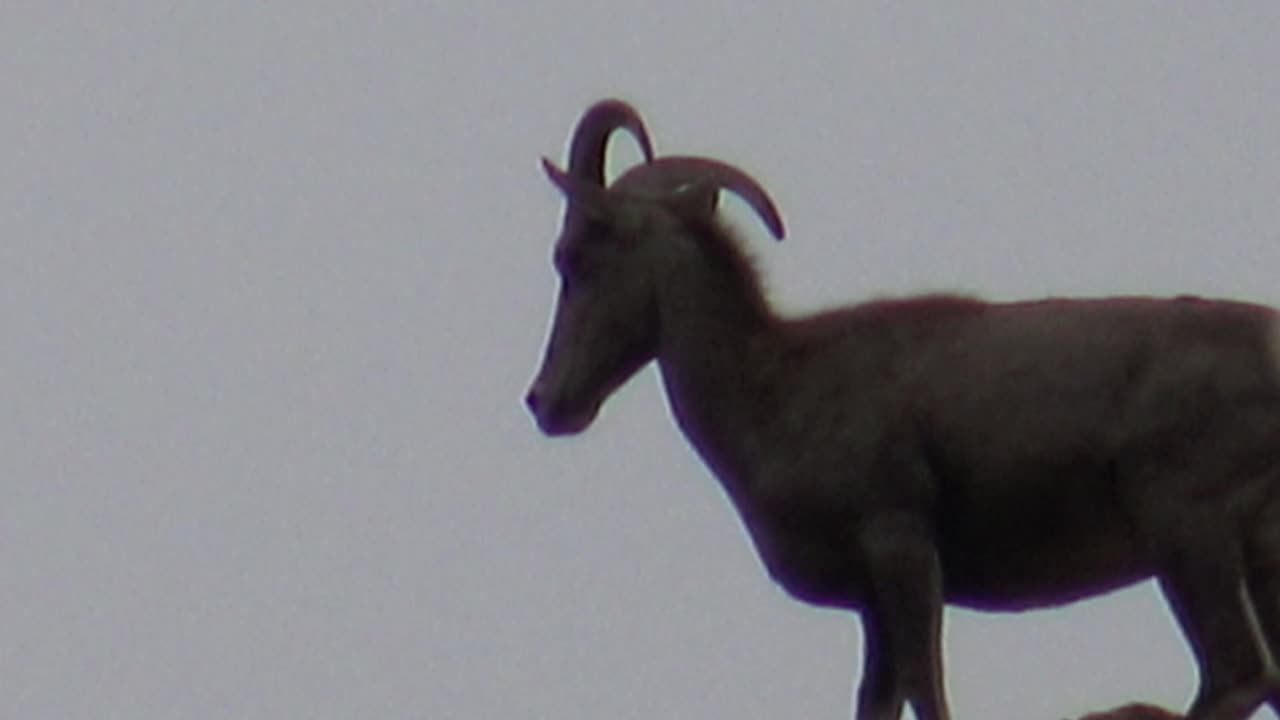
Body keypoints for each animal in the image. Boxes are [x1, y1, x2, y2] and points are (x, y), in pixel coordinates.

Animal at [524, 99, 1280, 717]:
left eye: (574, 255)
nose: (547, 401)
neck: (771, 391)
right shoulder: (873, 606)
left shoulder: (899, 543)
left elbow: (926, 691)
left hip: (1188, 530)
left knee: (1238, 675)